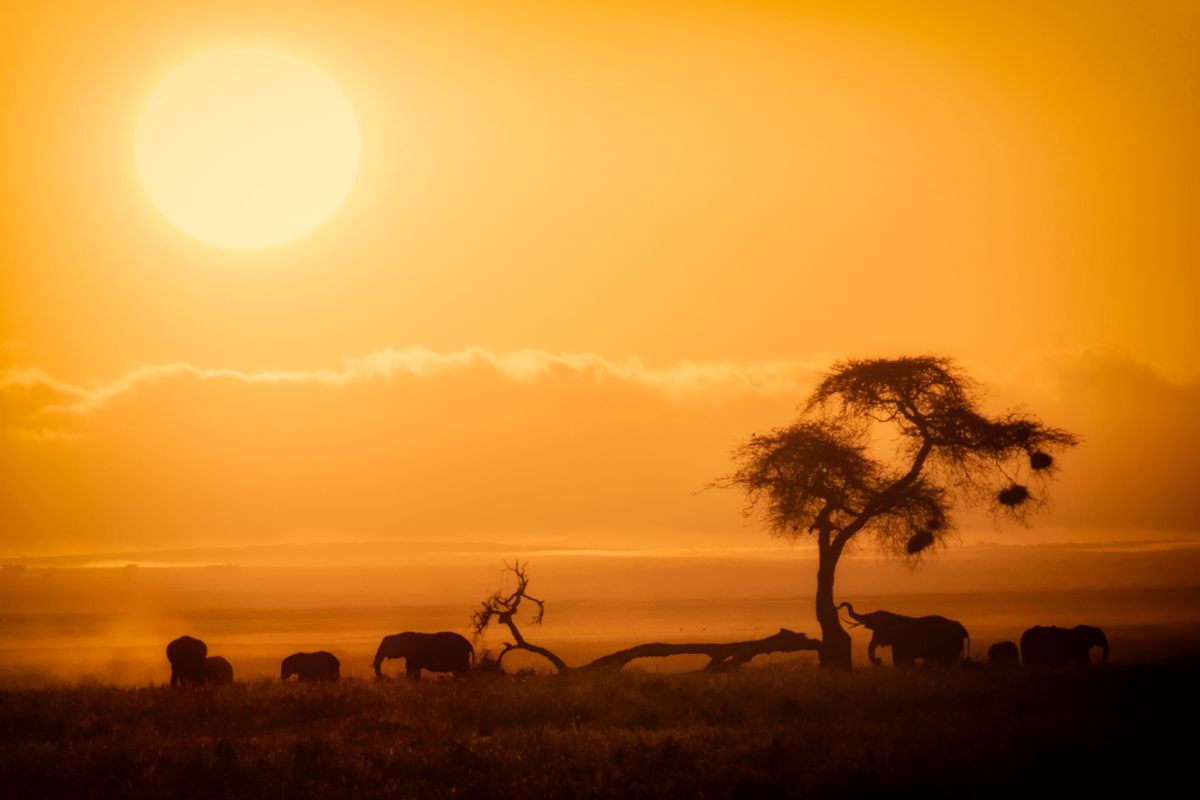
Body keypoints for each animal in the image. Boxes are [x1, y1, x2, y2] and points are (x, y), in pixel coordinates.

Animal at [840, 604, 969, 666]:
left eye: (876, 625)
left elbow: (902, 660)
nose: (879, 661)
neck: (894, 617)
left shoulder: (902, 642)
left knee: (948, 661)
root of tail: (964, 631)